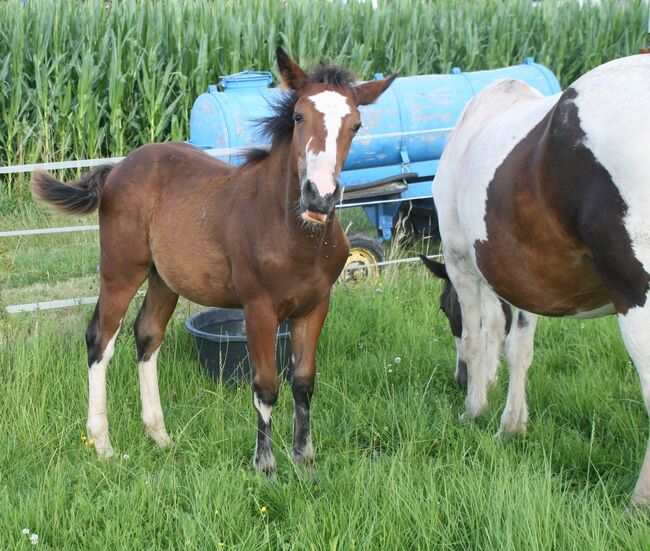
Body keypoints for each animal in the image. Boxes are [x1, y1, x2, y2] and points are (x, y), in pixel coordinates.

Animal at [33, 48, 392, 474]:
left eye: (356, 125)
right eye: (298, 116)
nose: (319, 196)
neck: (294, 233)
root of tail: (119, 167)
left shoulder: (316, 306)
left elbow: (303, 382)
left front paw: (305, 463)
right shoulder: (258, 309)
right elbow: (266, 386)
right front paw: (266, 467)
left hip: (163, 280)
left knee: (147, 335)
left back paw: (161, 437)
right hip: (121, 270)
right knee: (100, 340)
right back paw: (103, 445)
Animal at [430, 56, 648, 508]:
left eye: (445, 309)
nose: (459, 380)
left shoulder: (462, 261)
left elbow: (478, 337)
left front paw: (474, 409)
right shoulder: (525, 276)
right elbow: (518, 346)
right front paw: (511, 423)